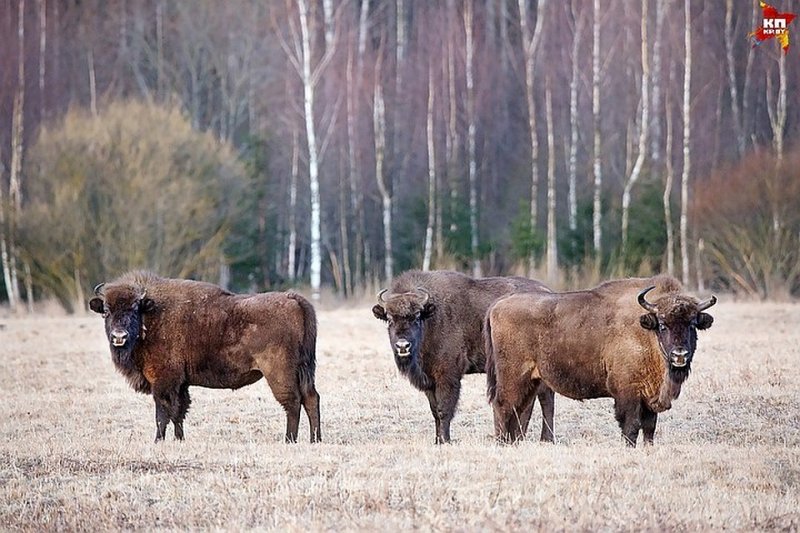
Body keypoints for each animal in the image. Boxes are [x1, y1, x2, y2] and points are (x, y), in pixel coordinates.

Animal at [89, 270, 320, 440]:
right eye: (106, 311)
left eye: (134, 309)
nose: (119, 336)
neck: (152, 316)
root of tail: (293, 299)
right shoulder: (181, 384)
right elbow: (178, 412)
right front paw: (179, 439)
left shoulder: (163, 381)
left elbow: (162, 413)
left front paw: (158, 440)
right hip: (304, 370)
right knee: (311, 398)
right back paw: (315, 439)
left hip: (279, 373)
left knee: (292, 402)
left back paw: (290, 439)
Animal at [372, 268, 552, 442]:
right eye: (389, 319)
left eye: (416, 317)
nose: (403, 345)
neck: (431, 319)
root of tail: (547, 290)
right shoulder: (430, 381)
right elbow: (434, 412)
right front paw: (437, 441)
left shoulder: (447, 376)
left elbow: (444, 410)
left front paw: (445, 440)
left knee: (544, 399)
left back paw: (545, 438)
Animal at [484, 276, 716, 446]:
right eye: (662, 325)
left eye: (692, 324)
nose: (680, 355)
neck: (645, 331)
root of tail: (497, 305)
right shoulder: (628, 394)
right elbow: (631, 427)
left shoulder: (650, 397)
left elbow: (649, 429)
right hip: (513, 377)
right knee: (502, 405)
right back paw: (501, 443)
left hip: (530, 381)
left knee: (518, 410)